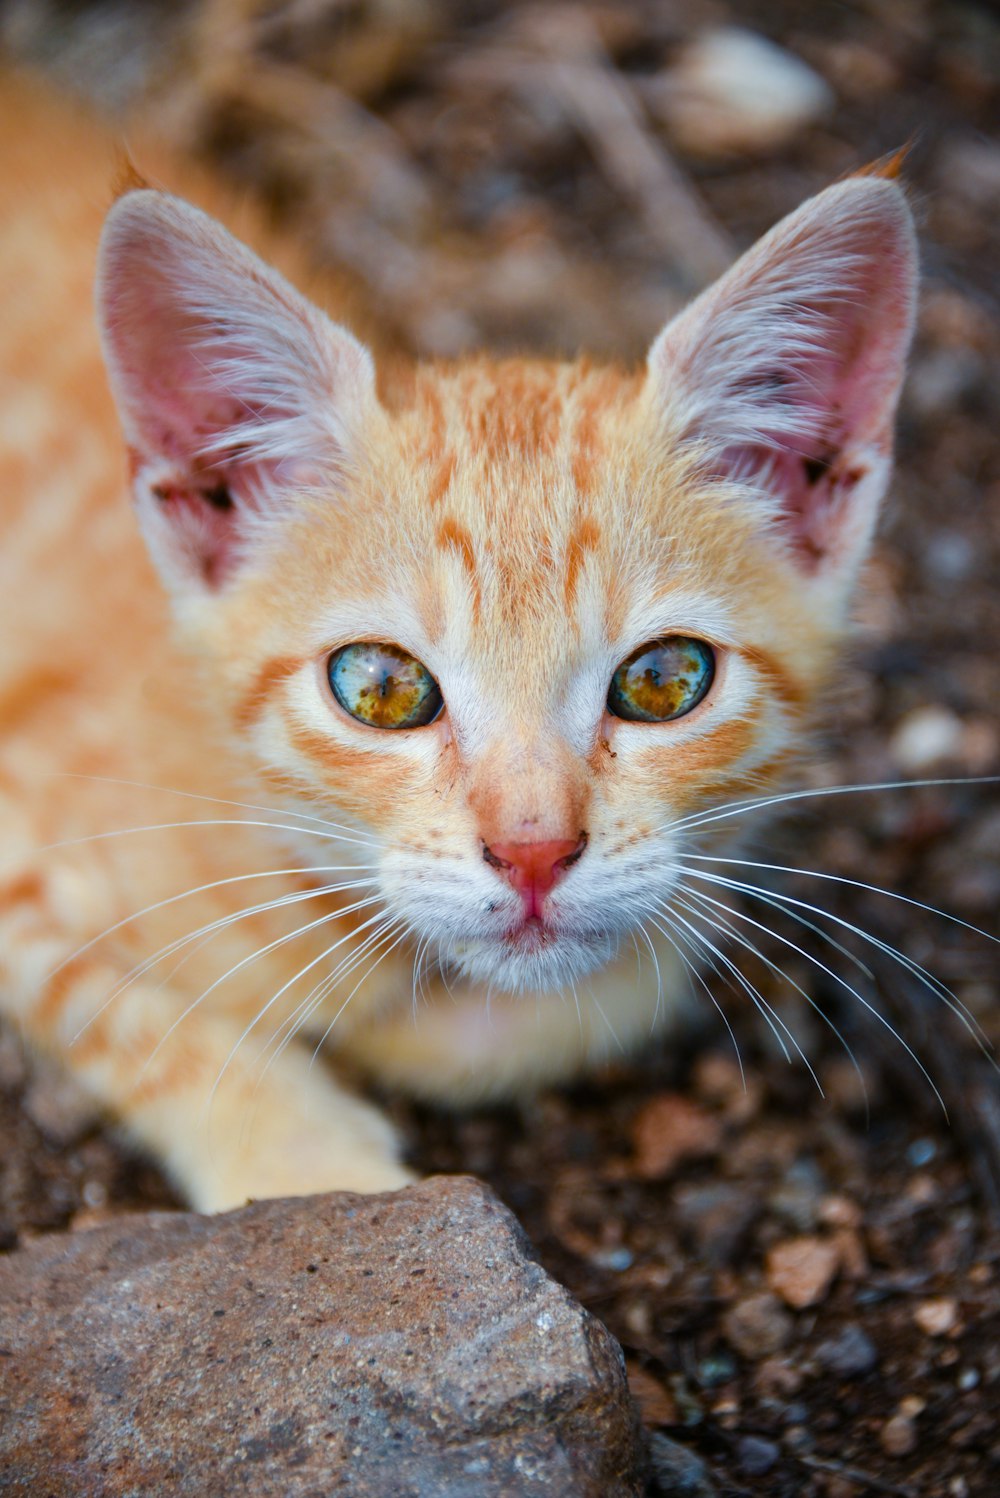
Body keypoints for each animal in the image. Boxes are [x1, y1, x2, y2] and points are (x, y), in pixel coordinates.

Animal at [0, 79, 916, 1204]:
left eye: (663, 680)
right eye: (381, 687)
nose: (533, 854)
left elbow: (601, 991)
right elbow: (118, 1005)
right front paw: (301, 1159)